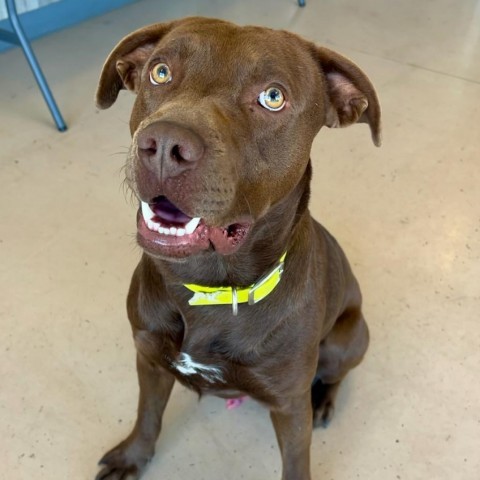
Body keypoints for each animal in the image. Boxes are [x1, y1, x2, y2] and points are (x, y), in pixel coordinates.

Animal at [93, 16, 378, 480]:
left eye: (273, 97)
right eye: (160, 72)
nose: (164, 145)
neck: (207, 288)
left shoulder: (289, 404)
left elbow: (297, 461)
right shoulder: (149, 360)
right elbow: (147, 415)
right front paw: (133, 457)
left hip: (345, 341)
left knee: (336, 373)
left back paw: (326, 401)